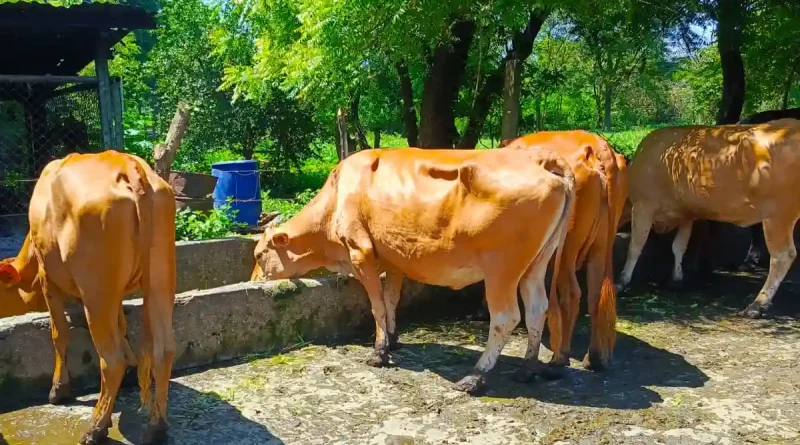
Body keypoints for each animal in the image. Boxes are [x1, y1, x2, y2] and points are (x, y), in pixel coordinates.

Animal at [0, 151, 177, 442]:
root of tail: (128, 165)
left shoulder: (48, 276)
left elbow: (59, 333)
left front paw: (59, 390)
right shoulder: (117, 296)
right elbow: (122, 327)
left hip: (96, 290)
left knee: (111, 360)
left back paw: (96, 427)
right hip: (160, 279)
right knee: (163, 350)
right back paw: (156, 427)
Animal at [253, 147, 572, 394]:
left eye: (258, 254)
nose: (252, 278)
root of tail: (541, 159)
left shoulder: (361, 253)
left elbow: (377, 306)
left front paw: (379, 352)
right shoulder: (394, 260)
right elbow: (391, 300)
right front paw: (393, 340)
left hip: (501, 269)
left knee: (507, 317)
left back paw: (476, 376)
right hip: (536, 264)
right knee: (537, 308)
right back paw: (528, 368)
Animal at [620, 119, 800, 320]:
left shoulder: (643, 205)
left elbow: (635, 247)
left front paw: (622, 281)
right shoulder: (686, 214)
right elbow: (678, 246)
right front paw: (676, 279)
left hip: (777, 214)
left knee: (782, 256)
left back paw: (756, 305)